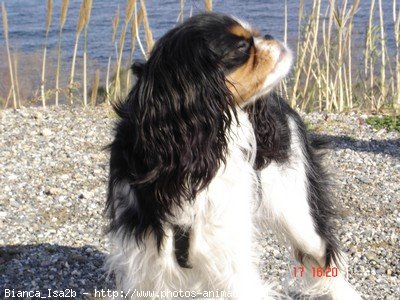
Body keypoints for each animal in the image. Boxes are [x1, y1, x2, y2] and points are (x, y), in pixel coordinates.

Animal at [104, 12, 360, 300]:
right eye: (241, 47)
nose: (269, 36)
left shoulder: (231, 255)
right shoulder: (146, 263)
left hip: (298, 214)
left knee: (324, 255)